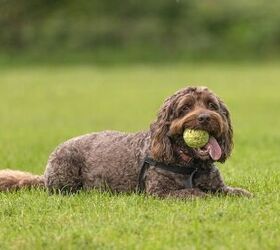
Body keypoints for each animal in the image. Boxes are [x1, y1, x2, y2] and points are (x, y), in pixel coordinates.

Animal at [0, 87, 252, 198]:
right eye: (186, 108)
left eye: (211, 105)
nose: (205, 118)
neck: (190, 165)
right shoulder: (161, 191)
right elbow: (195, 193)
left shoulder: (219, 186)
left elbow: (238, 193)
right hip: (65, 177)